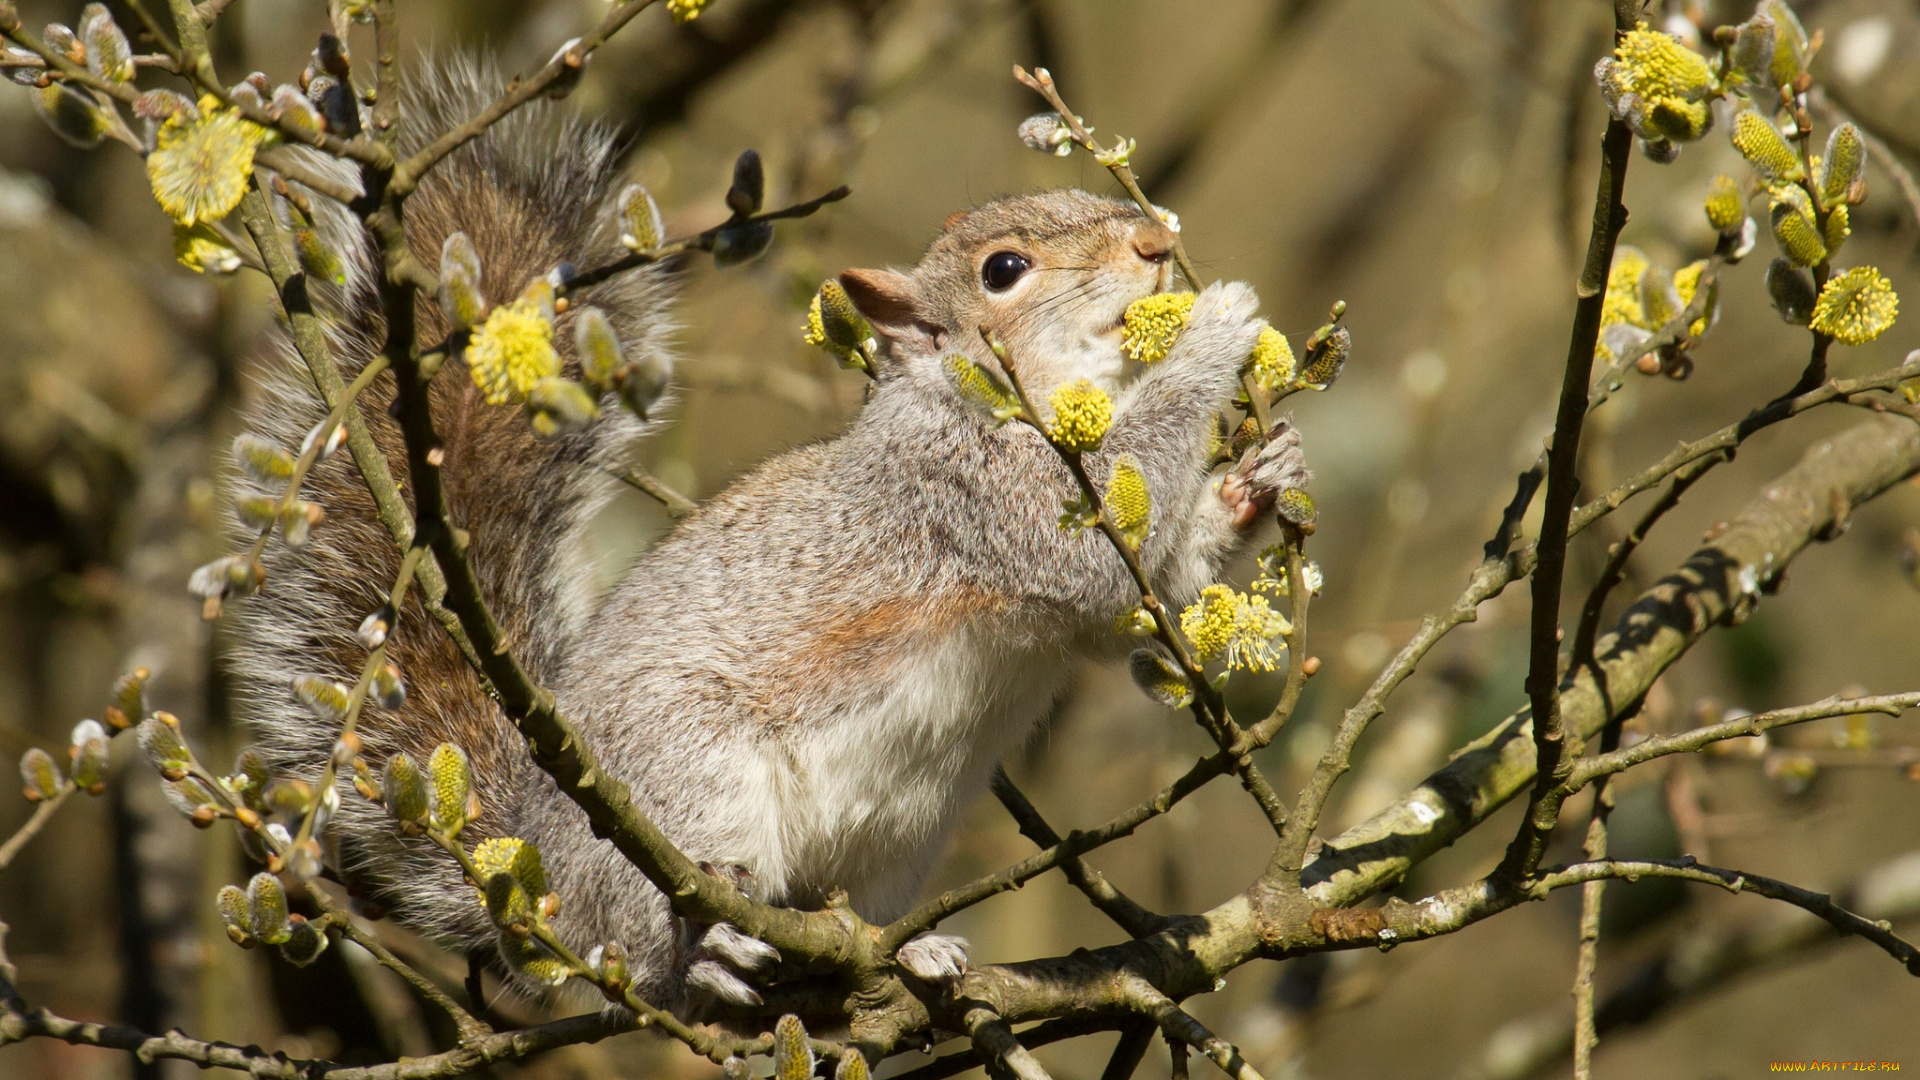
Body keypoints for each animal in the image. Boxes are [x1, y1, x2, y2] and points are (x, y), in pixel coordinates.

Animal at [232, 65, 1297, 1006]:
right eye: (1005, 271)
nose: (1155, 242)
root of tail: (536, 882)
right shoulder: (969, 495)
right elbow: (1098, 551)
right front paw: (1213, 332)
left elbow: (1137, 603)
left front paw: (1257, 480)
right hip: (687, 783)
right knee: (638, 951)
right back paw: (698, 961)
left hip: (891, 846)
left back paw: (914, 955)